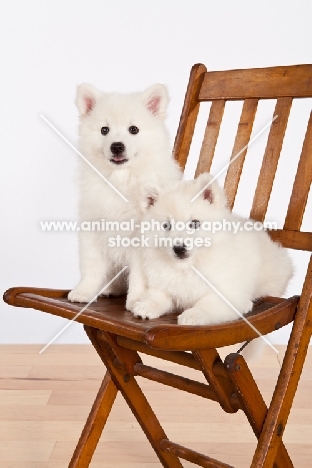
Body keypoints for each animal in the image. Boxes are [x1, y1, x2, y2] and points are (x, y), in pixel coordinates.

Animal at [68, 83, 180, 304]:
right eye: (104, 130)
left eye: (133, 129)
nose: (117, 146)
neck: (121, 181)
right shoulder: (92, 227)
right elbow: (91, 266)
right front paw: (84, 291)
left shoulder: (141, 237)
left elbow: (139, 274)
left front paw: (136, 300)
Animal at [128, 173, 294, 326]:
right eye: (166, 225)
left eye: (194, 223)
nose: (179, 248)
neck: (188, 267)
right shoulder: (165, 286)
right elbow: (157, 296)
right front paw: (146, 306)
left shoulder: (223, 291)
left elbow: (206, 305)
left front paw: (193, 315)